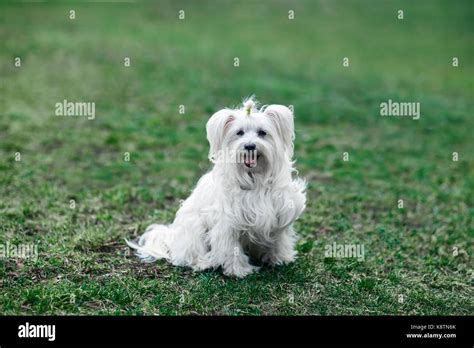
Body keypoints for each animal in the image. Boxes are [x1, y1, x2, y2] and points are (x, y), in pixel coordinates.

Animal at [126, 96, 306, 276]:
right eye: (239, 133)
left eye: (262, 133)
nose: (249, 146)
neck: (254, 179)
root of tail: (172, 238)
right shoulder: (227, 224)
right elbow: (231, 248)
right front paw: (239, 270)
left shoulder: (281, 215)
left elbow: (279, 240)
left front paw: (280, 258)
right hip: (195, 227)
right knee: (189, 255)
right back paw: (204, 263)